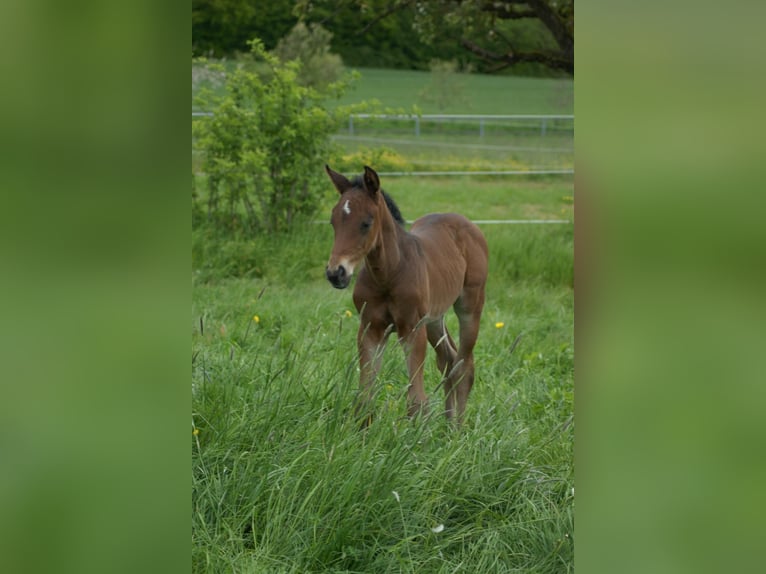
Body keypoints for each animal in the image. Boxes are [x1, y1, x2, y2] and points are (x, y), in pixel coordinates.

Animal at [328, 164, 488, 426]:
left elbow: (417, 400)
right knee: (448, 361)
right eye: (333, 221)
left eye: (366, 223)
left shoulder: (412, 329)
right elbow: (365, 397)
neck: (389, 274)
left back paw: (458, 429)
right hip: (434, 318)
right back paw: (447, 426)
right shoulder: (371, 327)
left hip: (470, 306)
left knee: (464, 366)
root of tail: (465, 222)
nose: (335, 273)